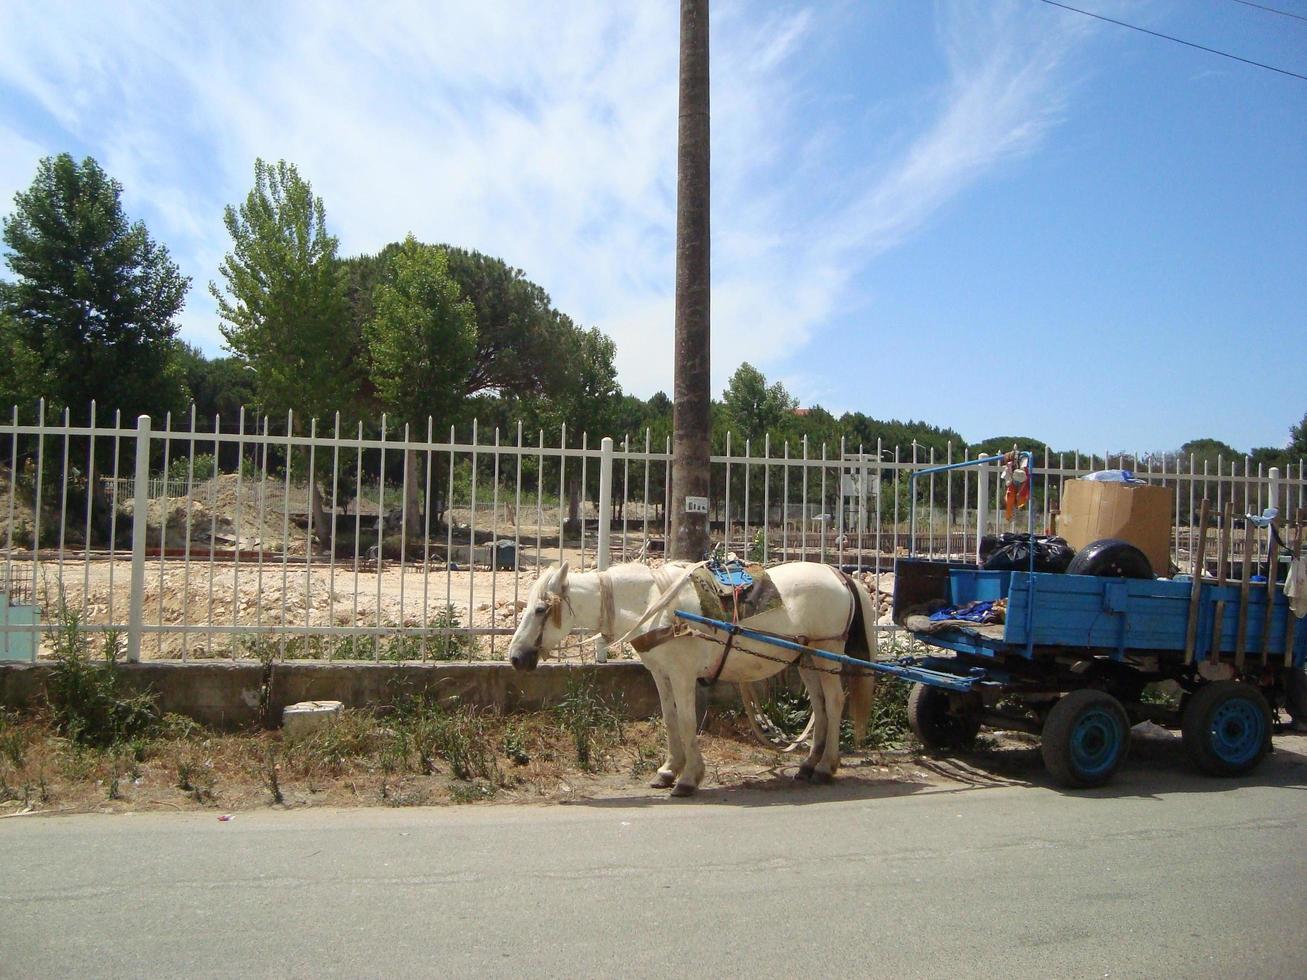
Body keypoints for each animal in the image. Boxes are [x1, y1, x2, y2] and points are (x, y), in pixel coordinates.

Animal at [507, 559, 878, 799]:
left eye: (541, 609)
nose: (515, 658)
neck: (654, 603)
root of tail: (838, 574)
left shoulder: (683, 674)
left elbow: (686, 720)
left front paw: (688, 778)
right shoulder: (660, 673)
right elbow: (669, 719)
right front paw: (668, 770)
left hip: (827, 651)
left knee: (834, 701)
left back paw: (826, 767)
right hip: (807, 658)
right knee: (820, 705)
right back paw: (808, 764)